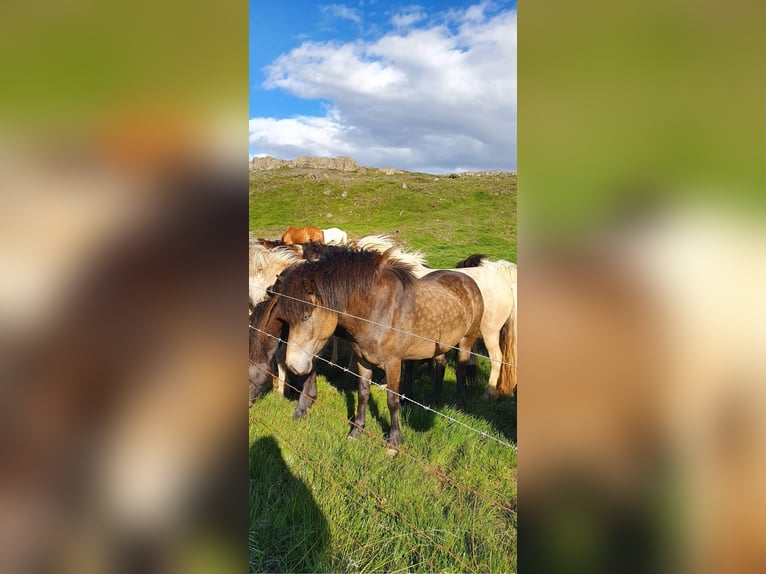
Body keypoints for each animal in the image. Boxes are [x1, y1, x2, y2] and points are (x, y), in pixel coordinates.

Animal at [274, 246, 484, 448]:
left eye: (306, 316)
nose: (292, 365)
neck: (376, 311)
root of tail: (468, 280)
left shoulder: (393, 364)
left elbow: (392, 400)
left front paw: (394, 440)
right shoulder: (363, 360)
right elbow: (363, 393)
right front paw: (357, 430)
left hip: (466, 340)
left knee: (461, 369)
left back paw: (457, 404)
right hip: (438, 345)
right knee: (440, 365)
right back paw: (434, 401)